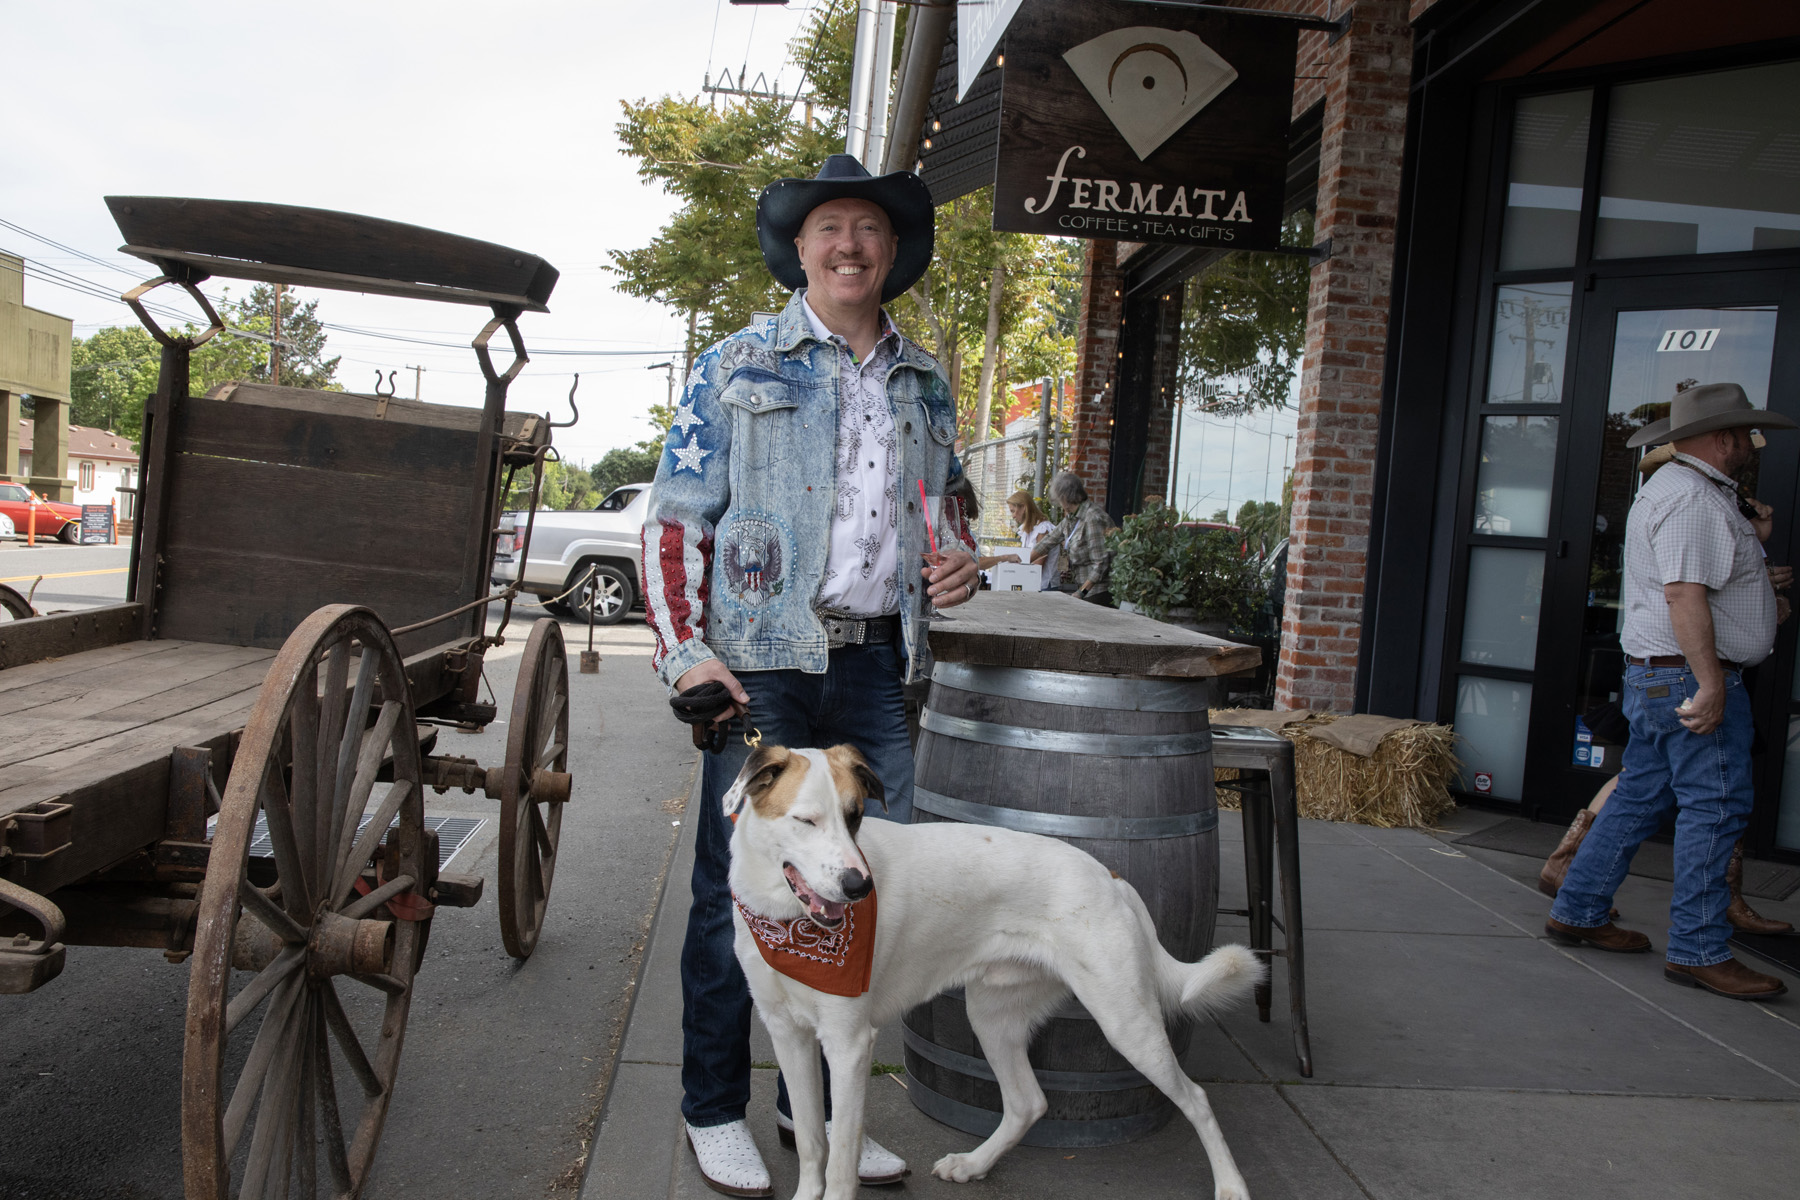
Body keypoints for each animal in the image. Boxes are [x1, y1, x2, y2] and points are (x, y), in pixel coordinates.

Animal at [724, 743, 1264, 1200]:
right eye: (806, 820)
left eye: (855, 816)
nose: (859, 886)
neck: (787, 923)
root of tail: (1111, 876)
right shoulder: (787, 1034)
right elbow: (812, 1141)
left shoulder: (849, 1043)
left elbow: (840, 1161)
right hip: (993, 1017)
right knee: (1028, 1102)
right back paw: (974, 1164)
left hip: (1126, 1020)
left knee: (1196, 1098)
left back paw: (1231, 1186)